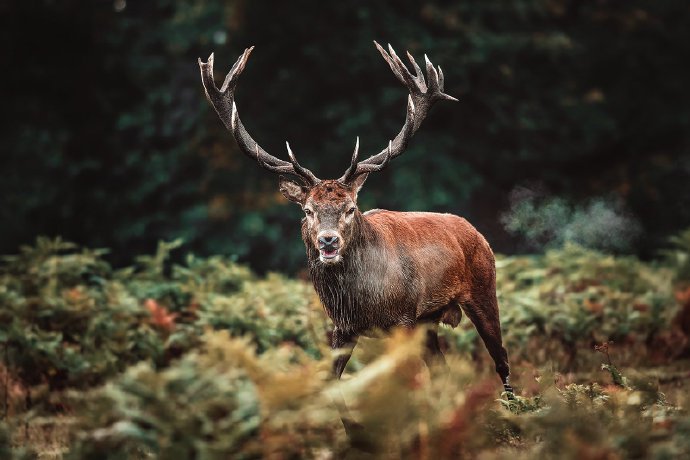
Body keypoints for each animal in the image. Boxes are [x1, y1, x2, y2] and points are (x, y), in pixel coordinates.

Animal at [198, 41, 510, 398]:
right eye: (308, 210)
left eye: (349, 207)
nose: (328, 240)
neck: (361, 301)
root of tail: (475, 231)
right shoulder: (342, 327)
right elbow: (330, 383)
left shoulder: (403, 319)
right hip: (428, 322)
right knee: (441, 368)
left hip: (483, 289)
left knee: (501, 359)